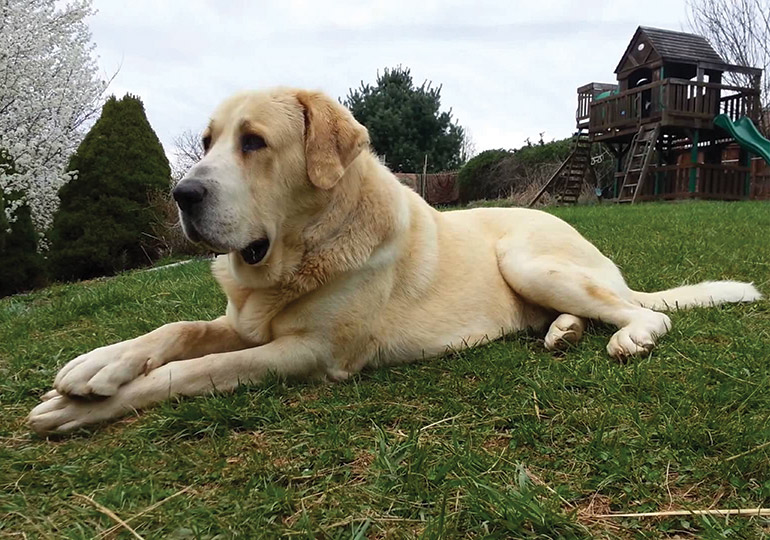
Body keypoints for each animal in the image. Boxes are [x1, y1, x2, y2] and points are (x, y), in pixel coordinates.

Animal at [27, 87, 760, 434]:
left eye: (254, 142)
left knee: (645, 314)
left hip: (529, 260)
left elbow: (194, 370)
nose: (182, 195)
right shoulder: (245, 321)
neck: (304, 249)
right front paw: (95, 369)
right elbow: (176, 332)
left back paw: (625, 335)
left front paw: (77, 410)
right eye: (206, 142)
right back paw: (562, 332)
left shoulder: (309, 354)